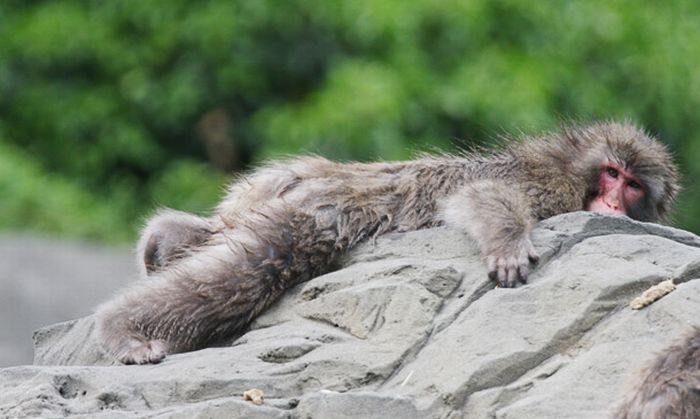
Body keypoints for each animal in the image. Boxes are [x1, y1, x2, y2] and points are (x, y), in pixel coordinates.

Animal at [93, 120, 680, 364]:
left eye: (633, 185)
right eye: (611, 174)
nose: (611, 205)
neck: (568, 169)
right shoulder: (544, 186)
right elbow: (482, 196)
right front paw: (508, 244)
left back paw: (165, 241)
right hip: (318, 210)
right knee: (252, 269)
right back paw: (123, 328)